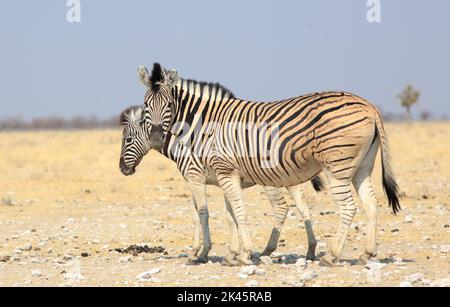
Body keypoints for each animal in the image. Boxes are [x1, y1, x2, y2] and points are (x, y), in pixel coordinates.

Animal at [119, 104, 322, 266]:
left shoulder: (195, 178)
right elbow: (226, 215)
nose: (122, 168)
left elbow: (201, 214)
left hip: (271, 180)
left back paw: (267, 250)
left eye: (128, 140)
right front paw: (231, 253)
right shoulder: (219, 179)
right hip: (290, 177)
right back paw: (310, 250)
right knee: (303, 205)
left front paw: (199, 253)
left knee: (282, 207)